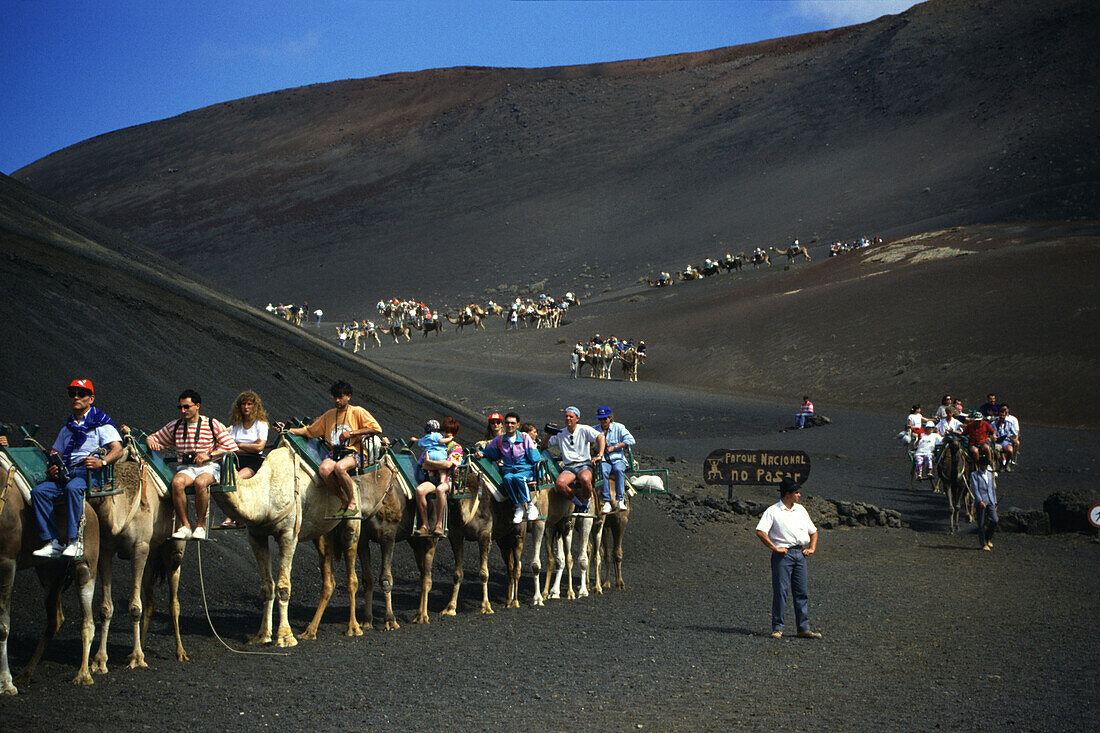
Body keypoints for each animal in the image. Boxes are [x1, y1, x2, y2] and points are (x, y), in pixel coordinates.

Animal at [1, 451, 99, 691]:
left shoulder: (7, 561)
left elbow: (3, 625)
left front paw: (6, 684)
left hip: (85, 566)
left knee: (87, 620)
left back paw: (83, 674)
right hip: (49, 572)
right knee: (55, 618)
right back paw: (25, 673)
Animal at [90, 435, 187, 669]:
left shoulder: (139, 548)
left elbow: (135, 606)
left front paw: (136, 658)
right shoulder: (106, 550)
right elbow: (106, 608)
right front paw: (100, 660)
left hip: (173, 551)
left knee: (174, 601)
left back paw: (180, 652)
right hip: (152, 555)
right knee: (150, 600)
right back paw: (141, 645)